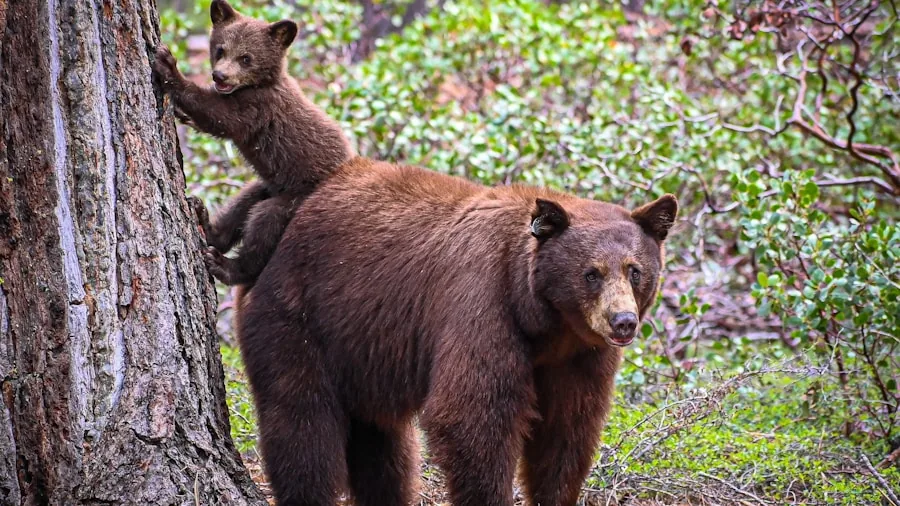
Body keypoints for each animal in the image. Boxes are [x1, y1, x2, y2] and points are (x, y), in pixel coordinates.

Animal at [152, 0, 354, 286]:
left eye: (246, 58)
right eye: (220, 49)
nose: (220, 76)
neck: (261, 84)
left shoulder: (258, 107)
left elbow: (219, 116)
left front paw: (169, 66)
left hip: (294, 201)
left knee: (264, 223)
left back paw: (224, 265)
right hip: (270, 185)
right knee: (244, 203)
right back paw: (206, 223)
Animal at [234, 156, 678, 506]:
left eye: (635, 270)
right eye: (591, 273)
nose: (623, 321)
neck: (544, 322)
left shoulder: (580, 356)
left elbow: (567, 429)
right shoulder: (481, 303)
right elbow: (472, 417)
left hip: (361, 347)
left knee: (384, 447)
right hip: (296, 317)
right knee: (303, 423)